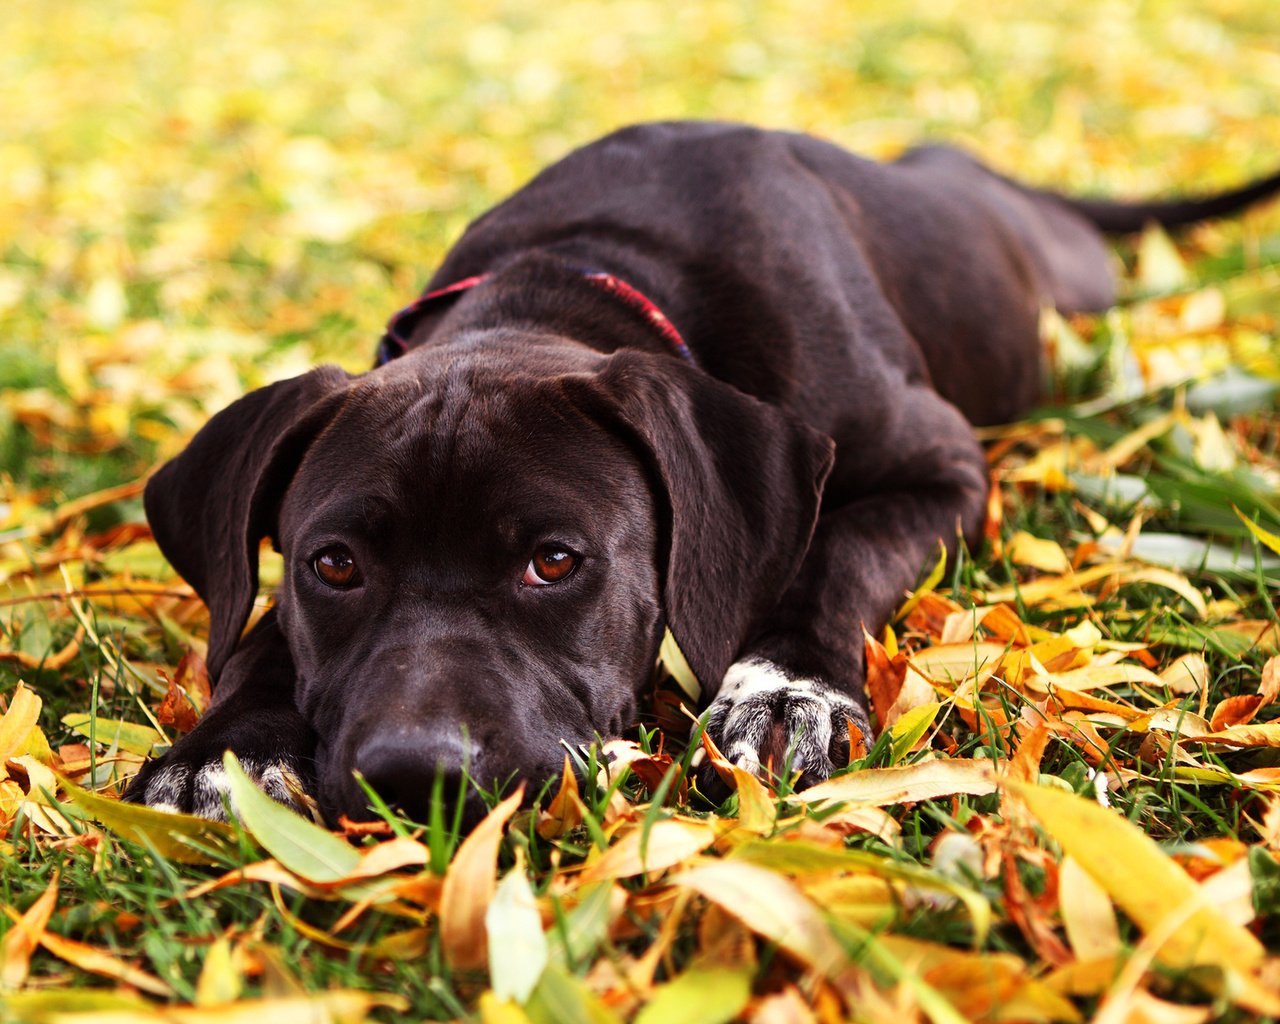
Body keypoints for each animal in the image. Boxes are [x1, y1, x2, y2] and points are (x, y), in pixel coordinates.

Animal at [127, 120, 1280, 824]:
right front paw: (218, 752)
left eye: (555, 561)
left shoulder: (943, 466)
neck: (576, 276)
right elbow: (259, 634)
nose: (416, 775)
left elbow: (832, 550)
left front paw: (785, 686)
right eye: (332, 564)